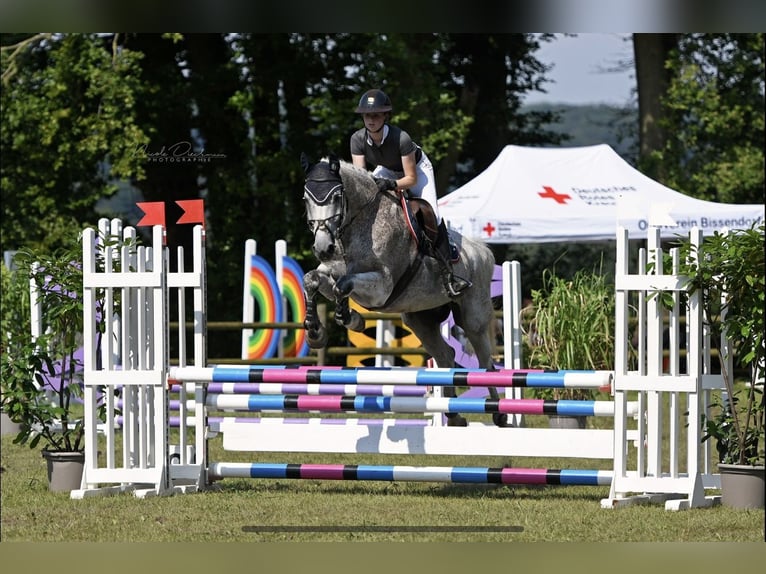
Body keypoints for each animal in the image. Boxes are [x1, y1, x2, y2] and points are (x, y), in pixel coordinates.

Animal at [302, 154, 510, 428]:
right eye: (306, 199)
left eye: (337, 196)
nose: (323, 248)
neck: (358, 227)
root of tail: (482, 250)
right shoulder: (330, 270)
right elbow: (312, 280)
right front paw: (316, 332)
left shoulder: (382, 287)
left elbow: (343, 285)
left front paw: (350, 319)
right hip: (420, 319)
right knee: (446, 355)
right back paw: (453, 414)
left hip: (473, 317)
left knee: (485, 361)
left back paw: (499, 413)